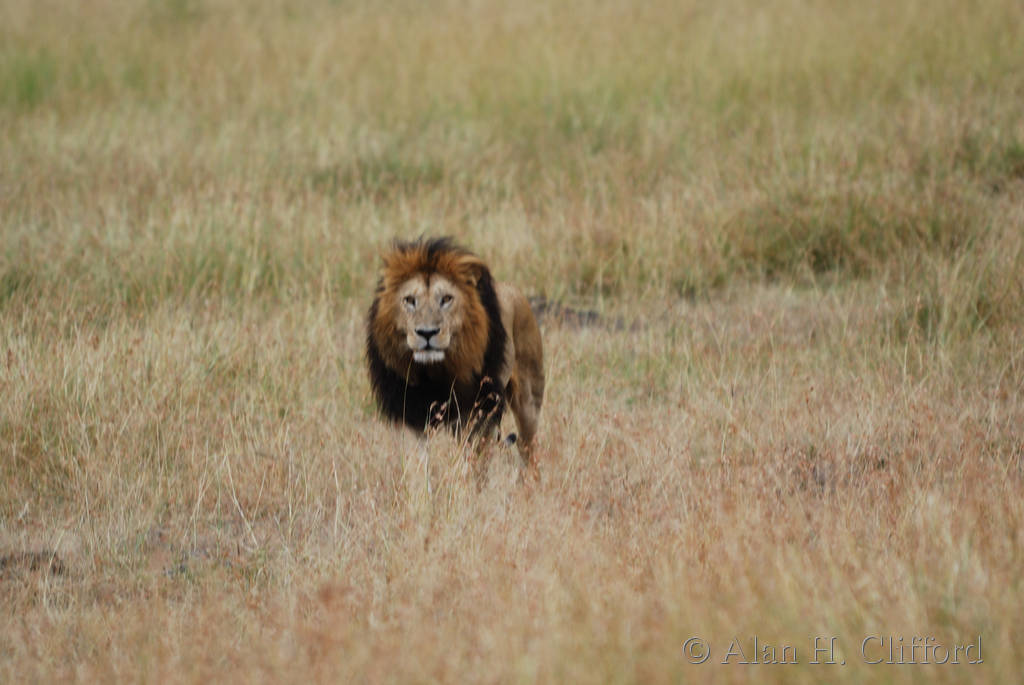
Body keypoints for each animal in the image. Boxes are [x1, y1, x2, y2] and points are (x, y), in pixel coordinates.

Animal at [365, 237, 544, 474]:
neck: (435, 371)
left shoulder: (477, 414)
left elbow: (470, 464)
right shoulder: (409, 415)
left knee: (528, 451)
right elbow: (416, 467)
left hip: (528, 402)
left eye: (446, 299)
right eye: (410, 300)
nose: (427, 333)